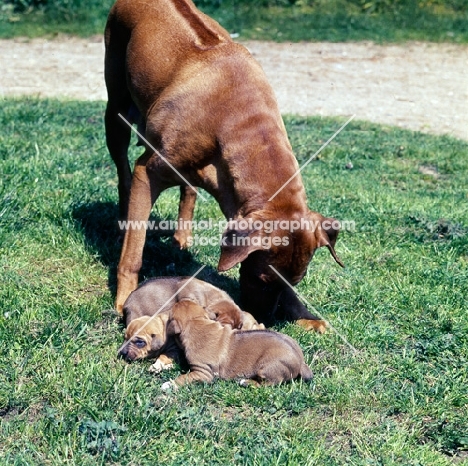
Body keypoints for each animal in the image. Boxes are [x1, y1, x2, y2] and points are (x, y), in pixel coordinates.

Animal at [105, 0, 344, 328]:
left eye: (293, 282)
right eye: (262, 279)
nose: (267, 320)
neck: (239, 119)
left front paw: (305, 316)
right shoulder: (147, 172)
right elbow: (134, 251)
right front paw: (125, 299)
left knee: (188, 189)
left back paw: (182, 237)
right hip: (115, 108)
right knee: (123, 173)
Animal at [162, 300, 314, 388]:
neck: (196, 323)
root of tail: (301, 362)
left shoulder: (203, 372)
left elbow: (184, 378)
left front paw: (169, 384)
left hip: (267, 368)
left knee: (267, 385)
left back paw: (245, 382)